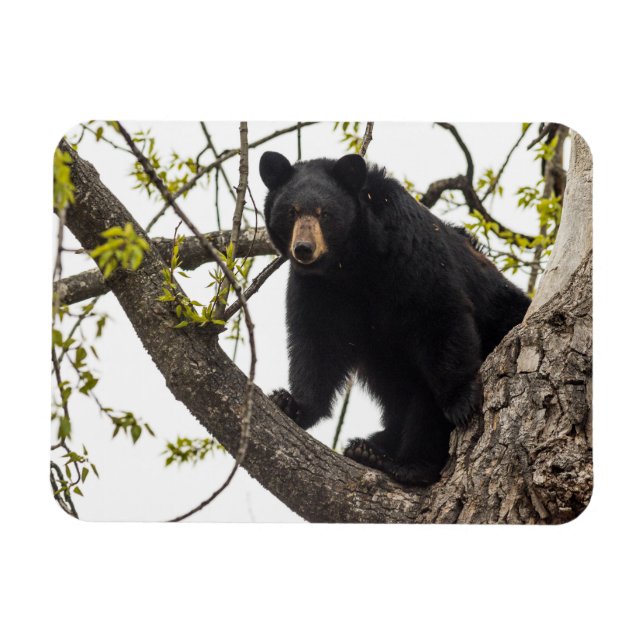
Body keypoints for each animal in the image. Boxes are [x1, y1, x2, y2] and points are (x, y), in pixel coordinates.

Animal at [259, 151, 530, 486]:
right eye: (291, 212)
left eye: (325, 214)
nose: (304, 249)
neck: (352, 263)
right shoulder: (319, 288)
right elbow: (317, 342)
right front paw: (292, 403)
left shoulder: (409, 252)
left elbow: (438, 314)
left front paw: (461, 400)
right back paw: (370, 447)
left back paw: (405, 463)